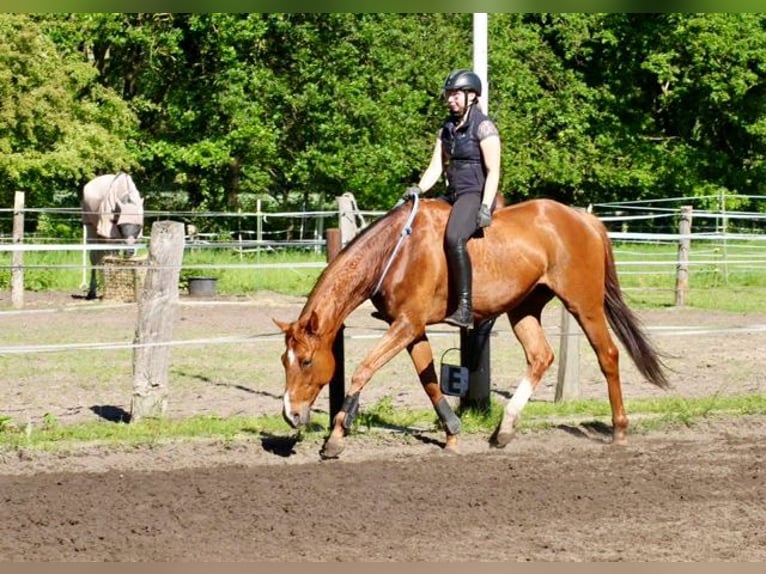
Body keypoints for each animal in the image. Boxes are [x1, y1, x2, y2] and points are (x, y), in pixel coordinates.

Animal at [274, 197, 670, 459]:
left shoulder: (406, 325)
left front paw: (337, 435)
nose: (289, 414)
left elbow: (363, 369)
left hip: (584, 305)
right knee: (540, 356)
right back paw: (505, 429)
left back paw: (619, 429)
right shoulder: (411, 328)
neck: (397, 252)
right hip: (524, 309)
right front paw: (452, 433)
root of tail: (585, 220)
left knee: (608, 355)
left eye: (305, 361)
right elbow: (430, 381)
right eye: (284, 361)